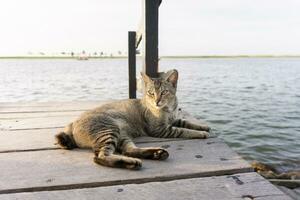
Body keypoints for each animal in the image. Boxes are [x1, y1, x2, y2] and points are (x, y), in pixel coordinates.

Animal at [56, 69, 211, 170]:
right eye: (151, 93)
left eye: (164, 92)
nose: (157, 101)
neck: (169, 109)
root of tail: (71, 124)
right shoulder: (161, 129)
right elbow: (183, 130)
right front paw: (201, 133)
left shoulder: (173, 120)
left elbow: (186, 122)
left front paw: (203, 127)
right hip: (109, 129)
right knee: (100, 157)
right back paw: (131, 162)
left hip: (122, 135)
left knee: (128, 150)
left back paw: (155, 153)